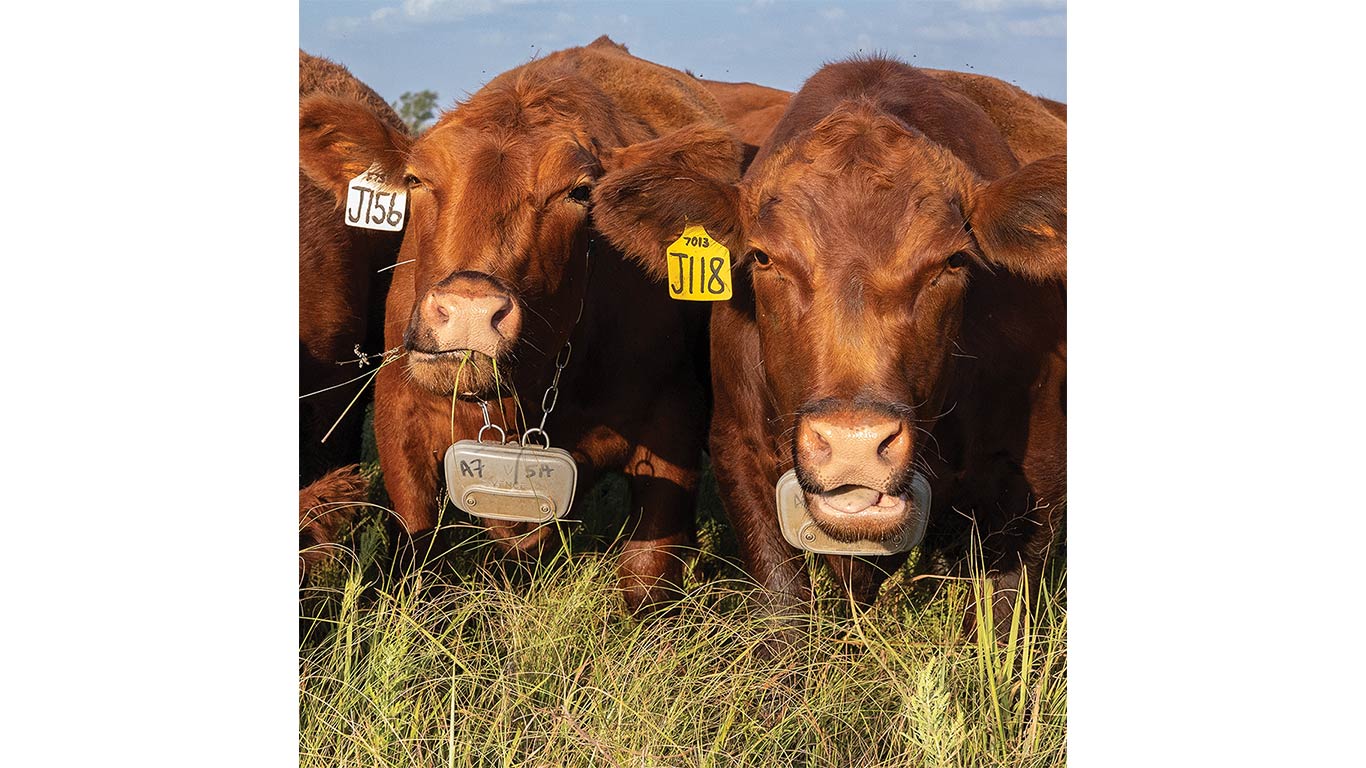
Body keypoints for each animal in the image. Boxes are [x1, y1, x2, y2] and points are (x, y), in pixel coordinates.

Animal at [298, 37, 748, 613]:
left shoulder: (674, 423)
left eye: (579, 193)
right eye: (416, 180)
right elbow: (416, 556)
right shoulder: (398, 419)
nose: (468, 309)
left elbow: (648, 572)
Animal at [590, 55, 1066, 634]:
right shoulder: (737, 447)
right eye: (764, 257)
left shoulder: (1038, 474)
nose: (854, 443)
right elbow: (782, 603)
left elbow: (1003, 624)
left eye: (953, 261)